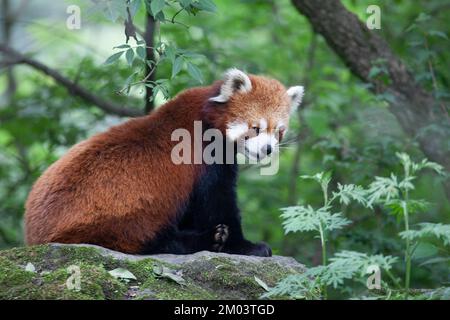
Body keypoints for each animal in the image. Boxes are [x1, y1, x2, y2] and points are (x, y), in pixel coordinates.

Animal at [25, 69, 306, 256]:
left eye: (278, 131)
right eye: (255, 128)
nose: (267, 149)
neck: (209, 115)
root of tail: (33, 234)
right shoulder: (204, 155)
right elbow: (216, 202)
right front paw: (247, 246)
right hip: (117, 218)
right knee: (149, 238)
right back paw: (208, 240)